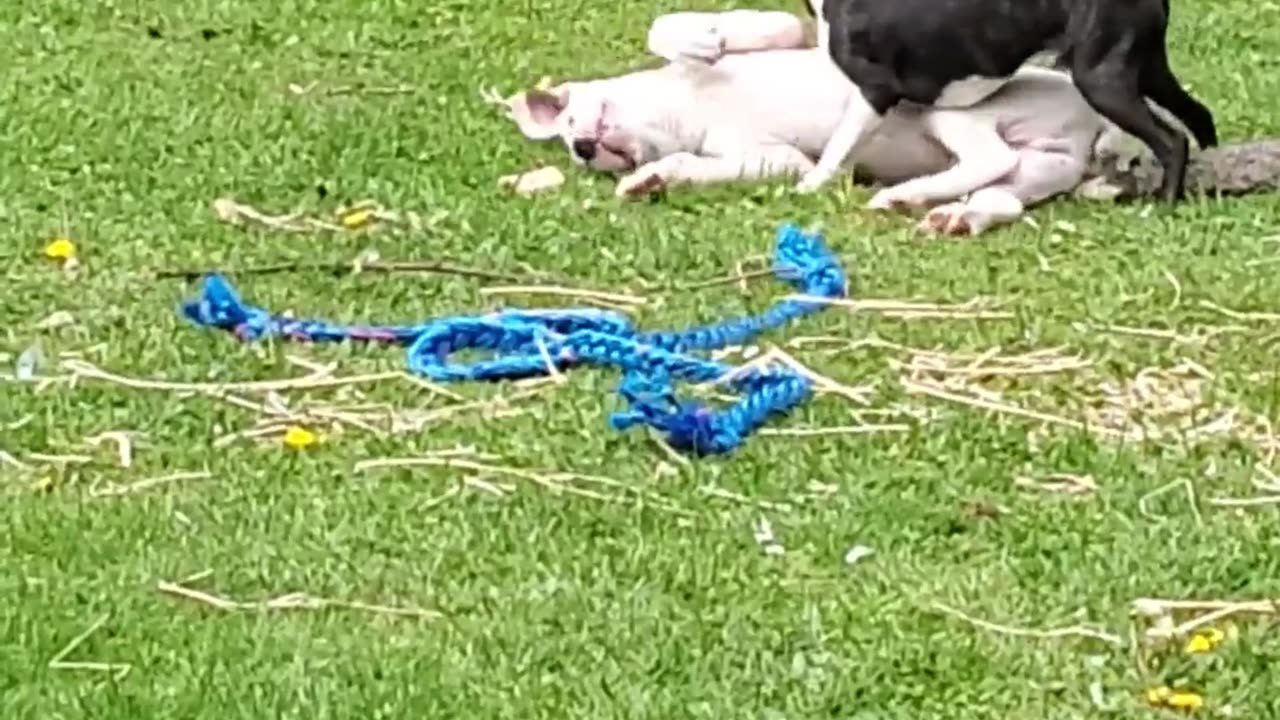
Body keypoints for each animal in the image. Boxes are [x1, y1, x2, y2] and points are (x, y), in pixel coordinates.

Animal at [499, 7, 1121, 235]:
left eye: (570, 117)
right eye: (573, 147)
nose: (582, 148)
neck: (680, 111)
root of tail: (1089, 130)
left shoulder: (787, 31)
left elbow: (717, 28)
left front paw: (701, 39)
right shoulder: (771, 159)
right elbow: (691, 164)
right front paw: (649, 180)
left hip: (949, 110)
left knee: (991, 158)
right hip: (1037, 166)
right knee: (1002, 187)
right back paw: (937, 209)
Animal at [798, 0, 1218, 204]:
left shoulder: (874, 90)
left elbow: (839, 145)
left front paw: (809, 186)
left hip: (1102, 81)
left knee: (1171, 140)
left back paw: (1164, 204)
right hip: (1146, 71)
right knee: (1199, 116)